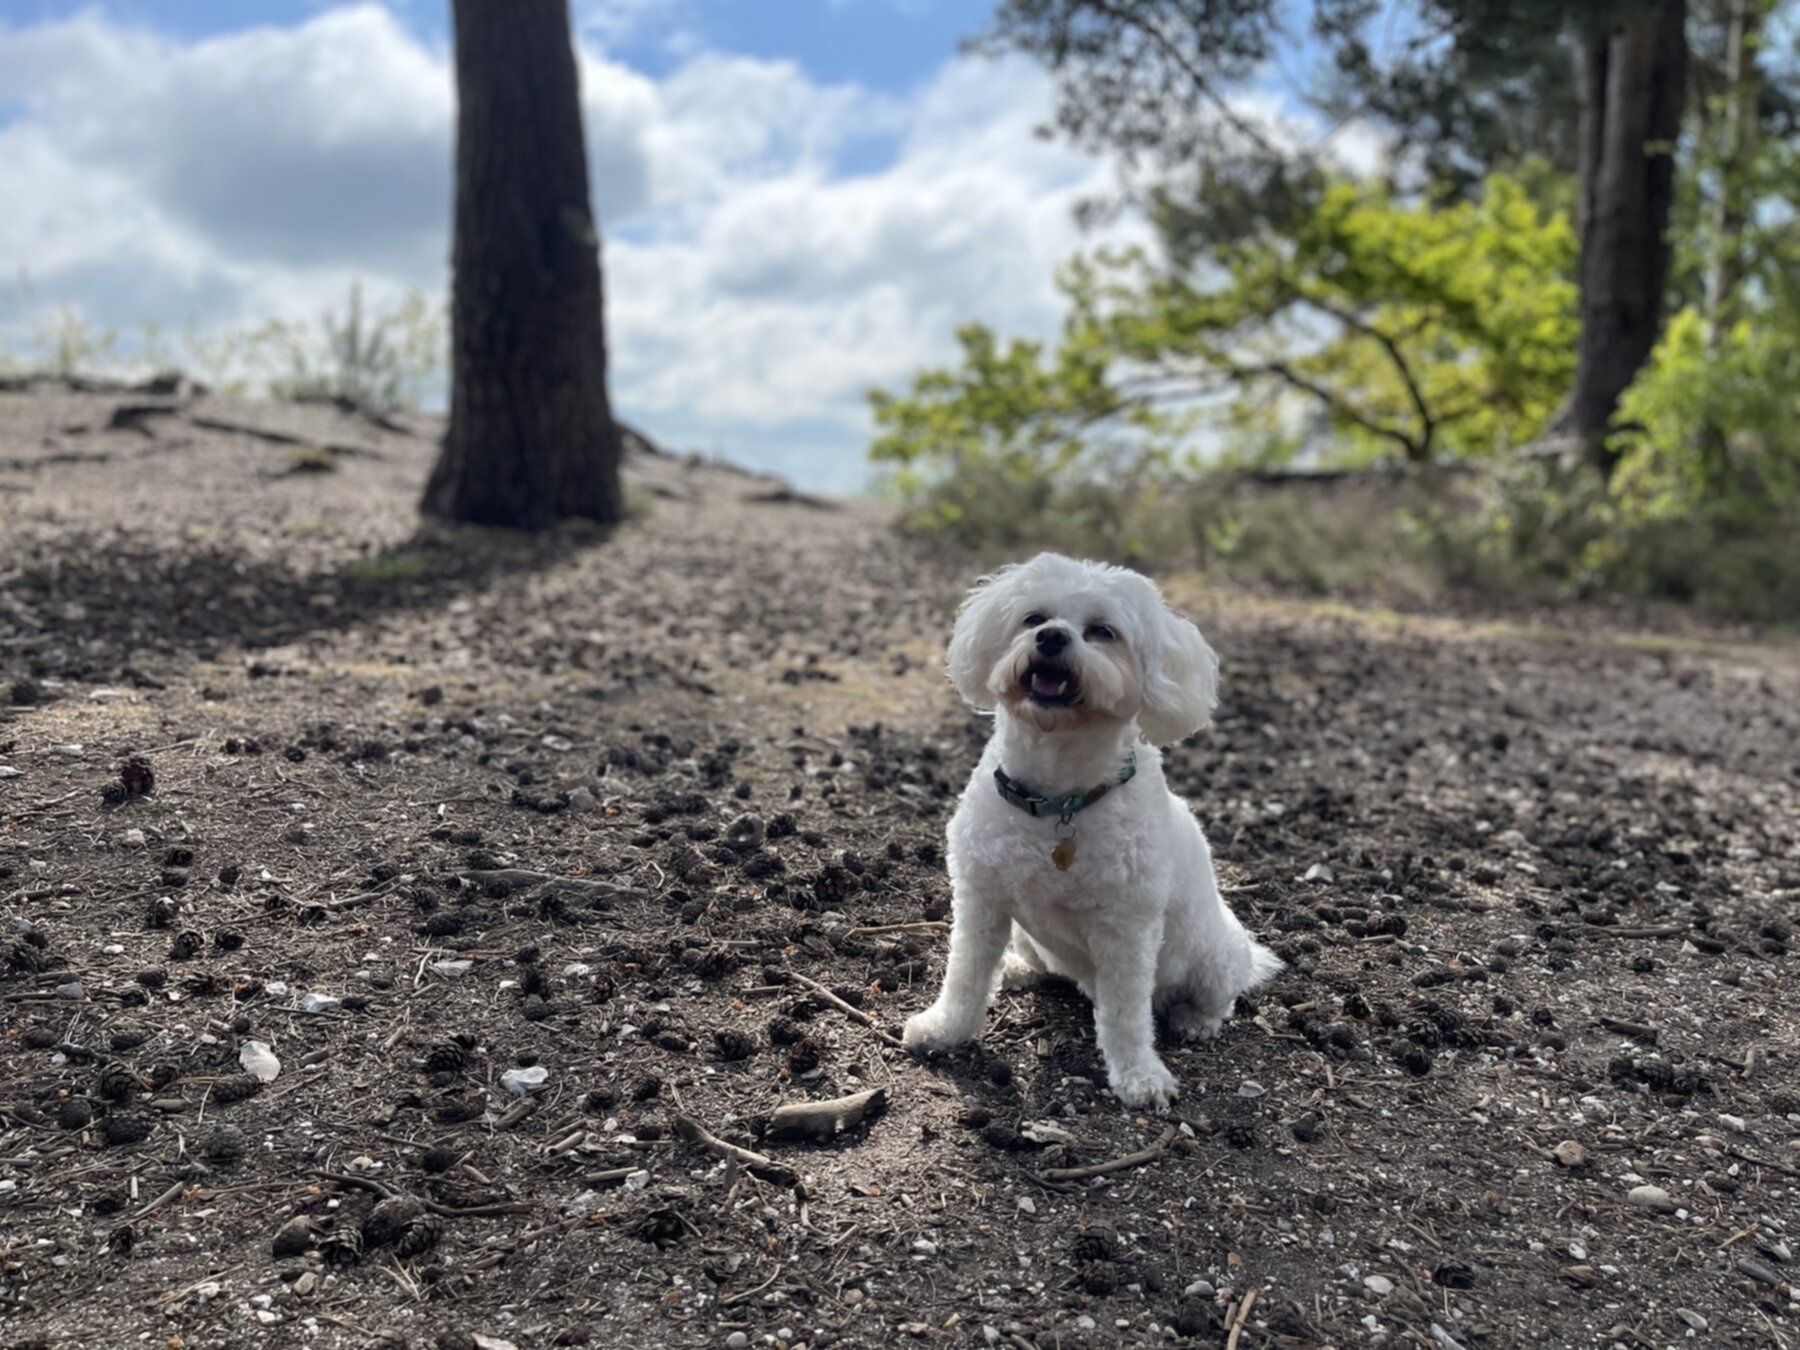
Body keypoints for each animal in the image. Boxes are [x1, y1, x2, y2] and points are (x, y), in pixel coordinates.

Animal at [900, 554, 1281, 1116]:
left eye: (1103, 632)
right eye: (1034, 618)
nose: (1052, 637)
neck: (1058, 799)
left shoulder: (1126, 930)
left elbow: (1125, 1014)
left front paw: (1139, 1076)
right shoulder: (981, 899)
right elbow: (965, 976)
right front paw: (946, 1030)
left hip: (1214, 958)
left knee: (1218, 996)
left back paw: (1195, 1019)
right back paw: (1021, 967)